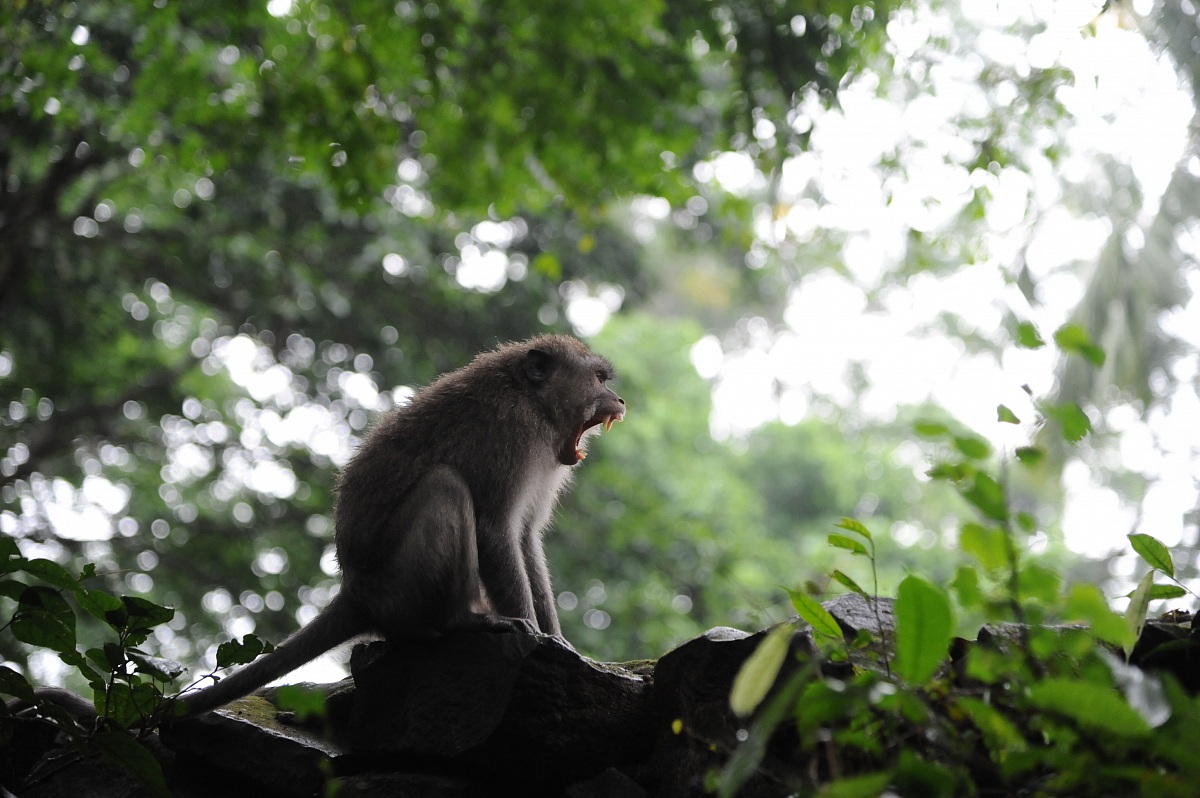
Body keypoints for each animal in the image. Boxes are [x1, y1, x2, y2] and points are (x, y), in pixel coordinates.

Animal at [170, 333, 626, 716]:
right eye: (598, 378)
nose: (618, 398)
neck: (533, 400)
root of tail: (355, 591)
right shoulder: (513, 431)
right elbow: (496, 529)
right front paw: (538, 637)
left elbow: (526, 538)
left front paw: (559, 640)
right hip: (400, 588)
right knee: (446, 485)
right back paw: (463, 620)